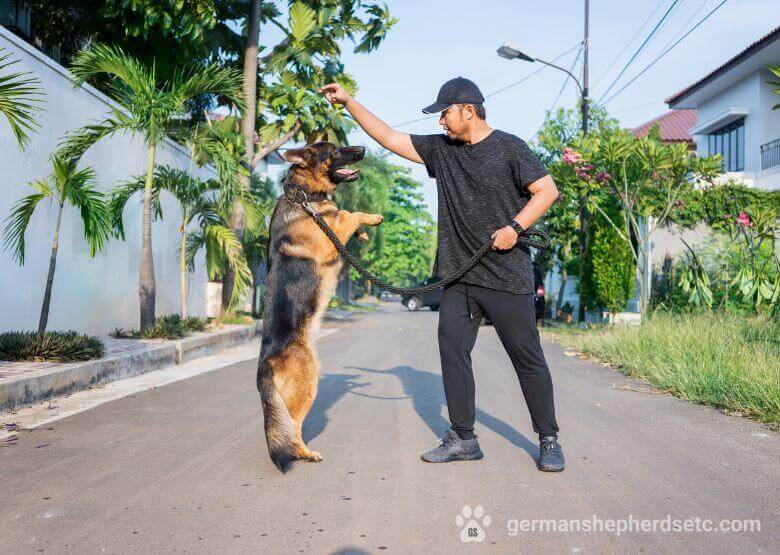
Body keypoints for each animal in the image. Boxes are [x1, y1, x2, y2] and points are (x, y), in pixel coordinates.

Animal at [258, 141, 382, 472]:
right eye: (335, 150)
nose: (363, 148)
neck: (304, 196)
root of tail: (265, 366)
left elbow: (344, 214)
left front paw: (362, 233)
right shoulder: (330, 242)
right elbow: (351, 214)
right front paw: (372, 219)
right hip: (309, 381)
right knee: (294, 426)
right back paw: (304, 452)